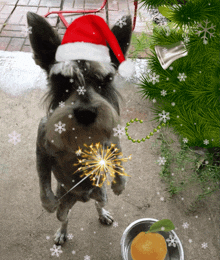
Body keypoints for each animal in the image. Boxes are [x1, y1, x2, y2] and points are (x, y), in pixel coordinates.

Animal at [26, 11, 131, 245]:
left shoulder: (112, 138)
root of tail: (82, 198)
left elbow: (118, 156)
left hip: (101, 194)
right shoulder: (41, 148)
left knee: (98, 204)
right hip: (66, 205)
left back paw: (103, 214)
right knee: (65, 217)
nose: (86, 113)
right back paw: (61, 232)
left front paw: (120, 185)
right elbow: (42, 179)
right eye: (62, 81)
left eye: (106, 79)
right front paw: (48, 202)